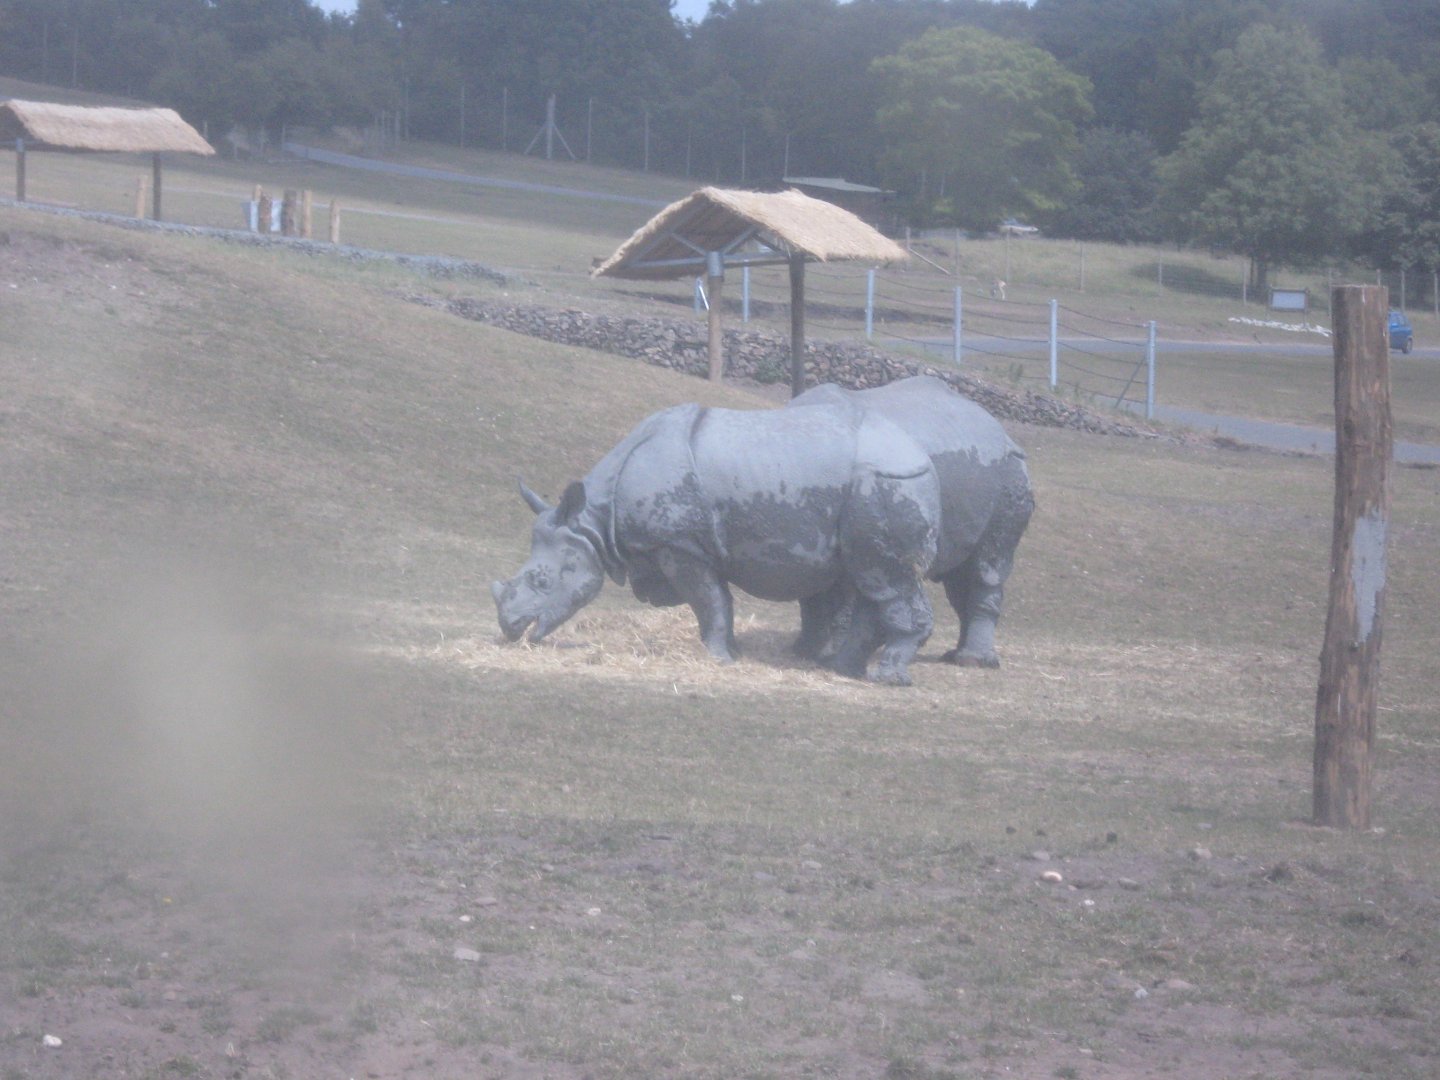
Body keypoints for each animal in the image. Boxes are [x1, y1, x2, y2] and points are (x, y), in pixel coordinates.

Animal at [491, 400, 942, 684]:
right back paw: (843, 672)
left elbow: (709, 600)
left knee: (888, 579)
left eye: (542, 581)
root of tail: (919, 453)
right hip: (877, 487)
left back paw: (888, 679)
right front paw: (732, 654)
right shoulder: (686, 545)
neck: (594, 521)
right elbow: (716, 601)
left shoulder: (679, 544)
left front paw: (717, 658)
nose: (510, 628)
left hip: (883, 483)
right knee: (871, 580)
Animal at [788, 376, 1033, 668]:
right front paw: (804, 651)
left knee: (987, 563)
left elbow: (840, 592)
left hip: (1011, 470)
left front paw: (827, 654)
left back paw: (973, 661)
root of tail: (1000, 428)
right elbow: (810, 594)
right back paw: (954, 656)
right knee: (959, 571)